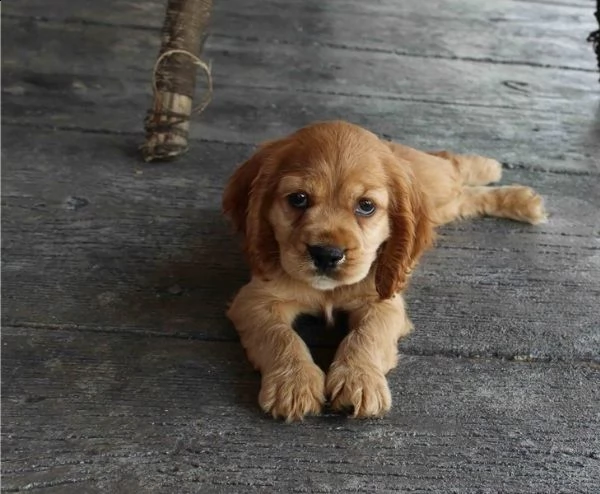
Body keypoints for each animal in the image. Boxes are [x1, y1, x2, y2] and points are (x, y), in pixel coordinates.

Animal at [223, 119, 548, 420]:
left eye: (366, 206)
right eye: (298, 199)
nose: (327, 255)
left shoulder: (384, 301)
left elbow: (367, 334)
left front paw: (359, 380)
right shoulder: (255, 299)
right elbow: (280, 335)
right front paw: (293, 384)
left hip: (437, 182)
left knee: (452, 165)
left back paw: (499, 176)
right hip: (442, 204)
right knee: (464, 195)